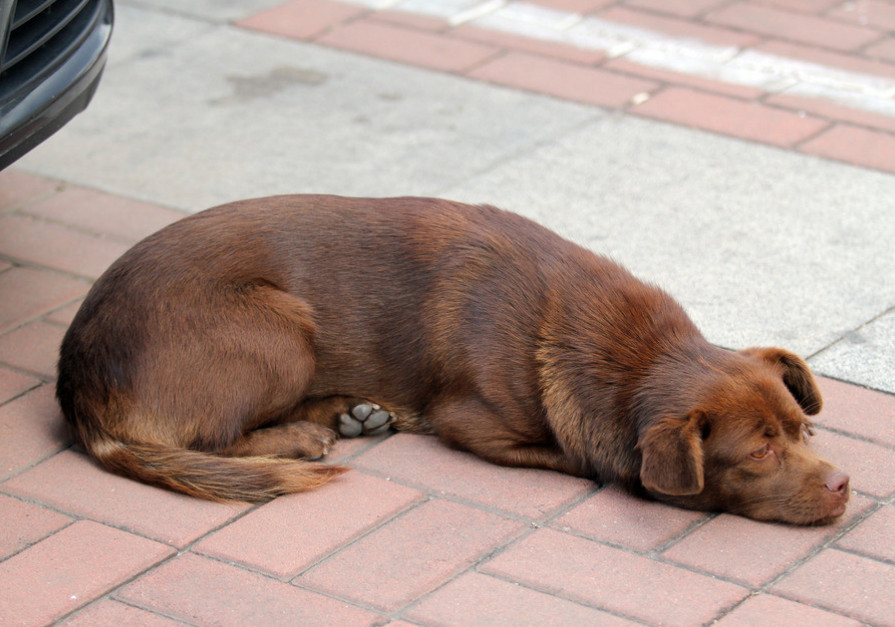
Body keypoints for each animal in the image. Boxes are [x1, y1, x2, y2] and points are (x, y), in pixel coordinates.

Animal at [56, 196, 848, 524]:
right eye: (760, 450)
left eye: (803, 431)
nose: (844, 485)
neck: (629, 351)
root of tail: (76, 384)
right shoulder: (476, 426)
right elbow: (578, 455)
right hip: (282, 326)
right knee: (210, 438)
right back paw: (305, 435)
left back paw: (349, 412)